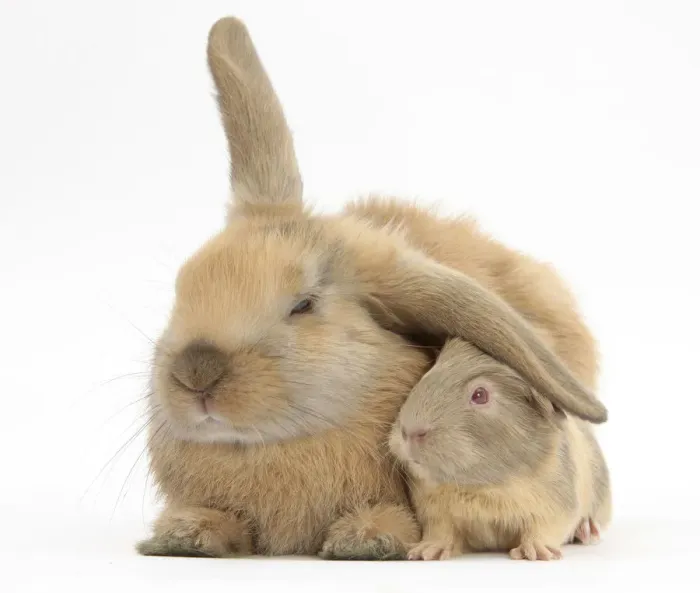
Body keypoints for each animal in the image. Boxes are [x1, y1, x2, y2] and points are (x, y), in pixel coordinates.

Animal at [389, 338, 611, 561]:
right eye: (428, 373)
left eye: (480, 395)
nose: (409, 431)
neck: (483, 487)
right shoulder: (434, 511)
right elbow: (441, 532)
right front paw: (424, 553)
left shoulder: (556, 507)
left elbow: (542, 530)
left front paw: (536, 553)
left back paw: (588, 531)